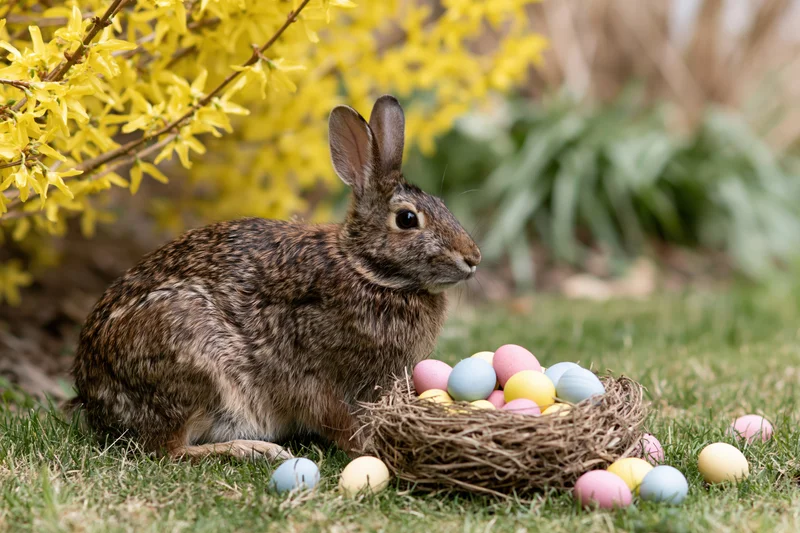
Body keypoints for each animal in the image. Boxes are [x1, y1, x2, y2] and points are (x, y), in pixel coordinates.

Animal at [70, 95, 481, 461]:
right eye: (407, 219)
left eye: (443, 205)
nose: (473, 258)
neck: (367, 270)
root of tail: (94, 396)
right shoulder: (311, 376)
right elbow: (334, 418)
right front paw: (367, 447)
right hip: (191, 358)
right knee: (167, 449)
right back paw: (255, 450)